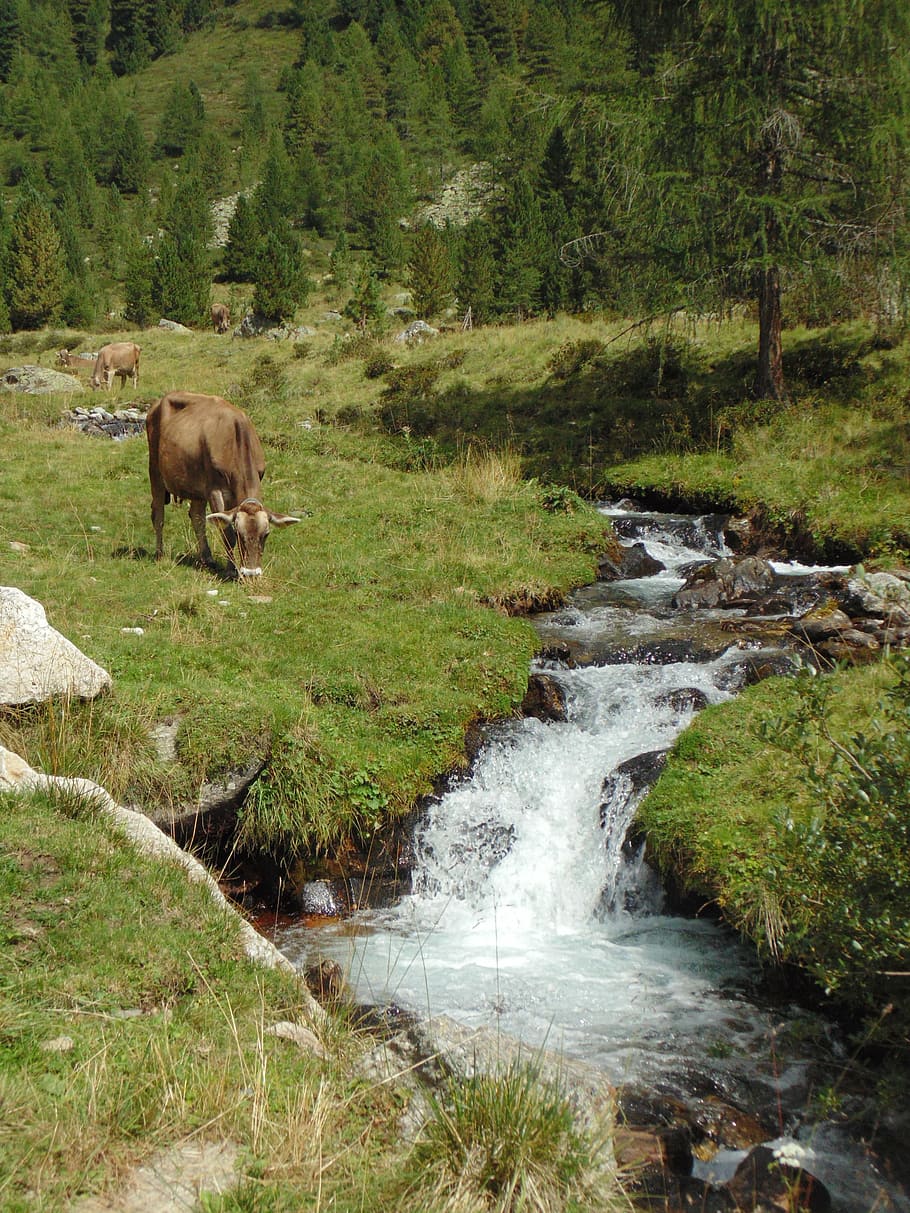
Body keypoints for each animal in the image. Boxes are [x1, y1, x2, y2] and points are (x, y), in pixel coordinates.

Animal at [146, 391, 300, 577]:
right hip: (155, 471)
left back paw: (207, 558)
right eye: (239, 533)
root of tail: (158, 402)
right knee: (159, 514)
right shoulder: (215, 491)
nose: (251, 573)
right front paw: (231, 570)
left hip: (197, 486)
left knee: (197, 516)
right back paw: (160, 554)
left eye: (266, 534)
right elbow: (226, 533)